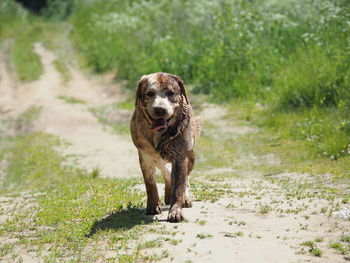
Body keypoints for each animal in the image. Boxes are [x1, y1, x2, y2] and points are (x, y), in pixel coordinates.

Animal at [130, 71, 201, 223]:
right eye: (150, 93)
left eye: (170, 93)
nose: (160, 110)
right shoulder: (145, 157)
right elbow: (150, 184)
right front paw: (152, 206)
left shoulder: (180, 156)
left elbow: (179, 186)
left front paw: (175, 211)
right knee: (166, 172)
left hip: (190, 156)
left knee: (183, 178)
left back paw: (184, 198)